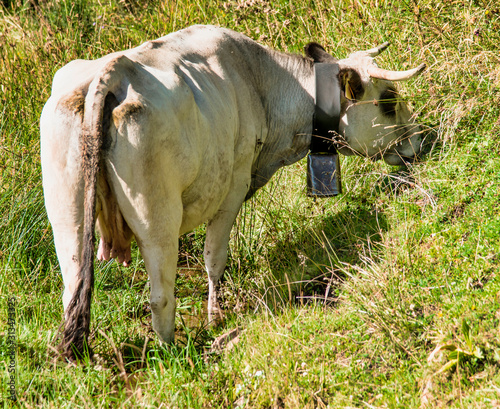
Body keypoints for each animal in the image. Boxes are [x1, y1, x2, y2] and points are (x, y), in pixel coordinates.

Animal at [40, 24, 426, 356]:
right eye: (389, 101)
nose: (424, 139)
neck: (262, 82)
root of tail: (113, 71)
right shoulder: (234, 186)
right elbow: (214, 258)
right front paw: (215, 318)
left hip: (68, 218)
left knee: (72, 290)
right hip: (156, 218)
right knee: (160, 295)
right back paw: (171, 352)